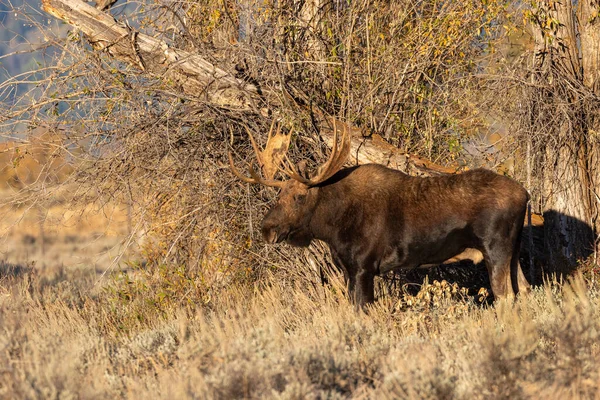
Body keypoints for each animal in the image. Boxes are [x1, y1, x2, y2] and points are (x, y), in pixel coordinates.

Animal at [229, 120, 528, 308]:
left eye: (300, 196)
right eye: (278, 195)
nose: (268, 229)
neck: (333, 227)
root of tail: (526, 195)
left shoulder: (364, 267)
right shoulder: (349, 270)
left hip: (496, 249)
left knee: (506, 297)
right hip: (514, 252)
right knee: (524, 290)